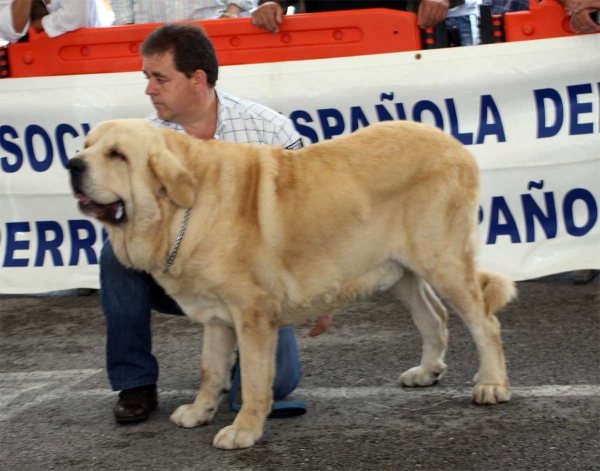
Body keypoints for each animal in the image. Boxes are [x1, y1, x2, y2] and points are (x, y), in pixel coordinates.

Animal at [65, 118, 516, 450]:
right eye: (86, 145)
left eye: (117, 155)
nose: (72, 165)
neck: (183, 208)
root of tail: (453, 143)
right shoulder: (217, 318)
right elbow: (211, 370)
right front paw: (199, 411)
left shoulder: (252, 316)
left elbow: (254, 381)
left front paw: (244, 429)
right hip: (398, 272)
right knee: (433, 317)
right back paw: (426, 371)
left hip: (443, 262)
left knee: (485, 323)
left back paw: (492, 384)